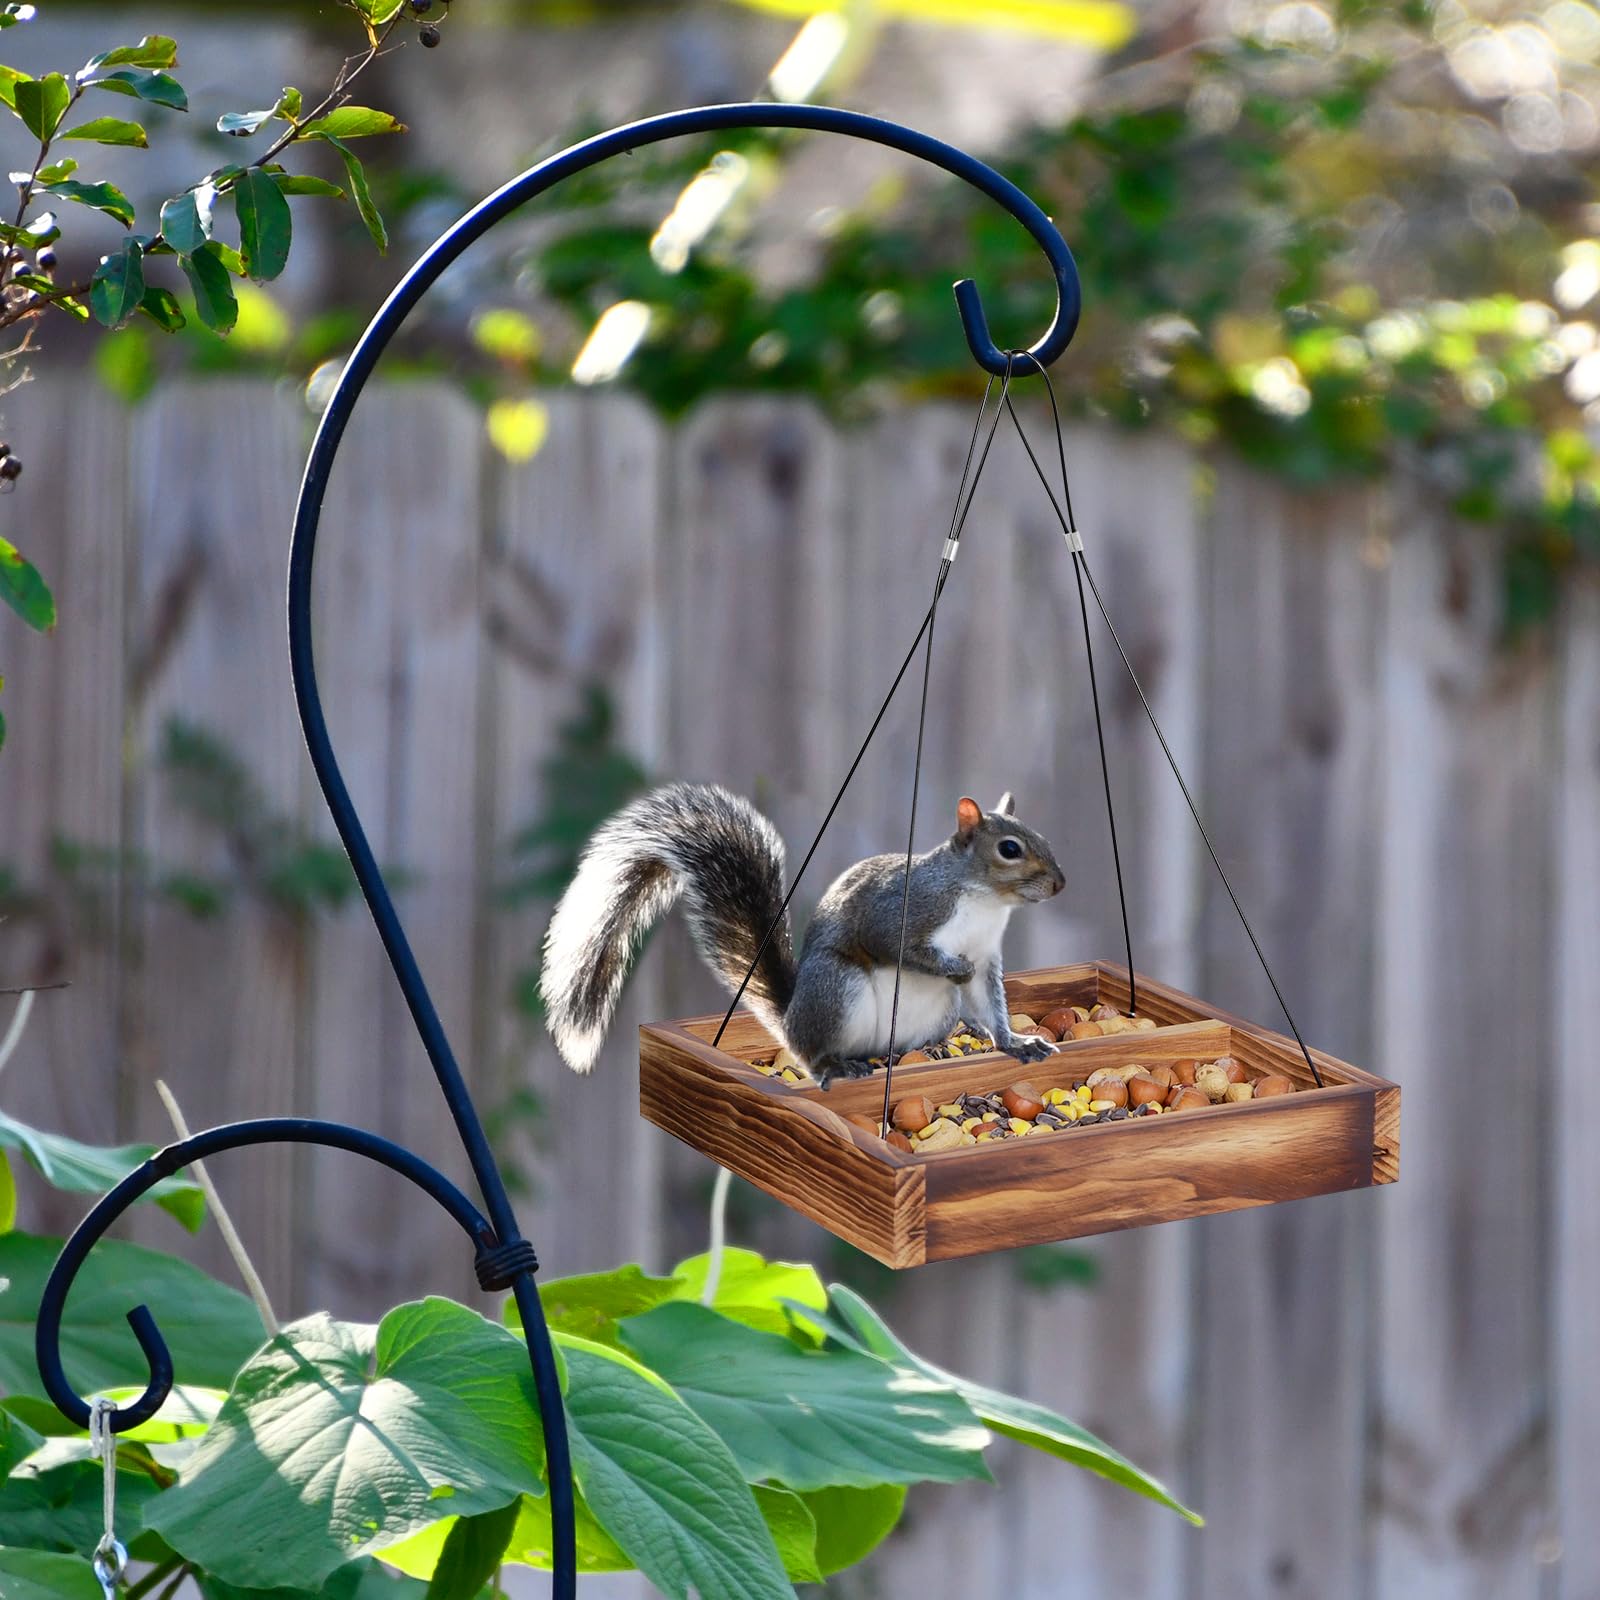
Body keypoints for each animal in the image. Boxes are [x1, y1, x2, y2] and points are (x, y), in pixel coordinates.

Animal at [539, 783, 1066, 1089]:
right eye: (1010, 849)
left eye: (1041, 837)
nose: (1060, 885)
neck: (985, 901)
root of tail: (792, 1019)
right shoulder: (901, 912)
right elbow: (899, 947)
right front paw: (949, 966)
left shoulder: (986, 955)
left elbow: (990, 1004)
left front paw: (1015, 1042)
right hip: (837, 988)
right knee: (813, 1055)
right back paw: (833, 1067)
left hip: (935, 1014)